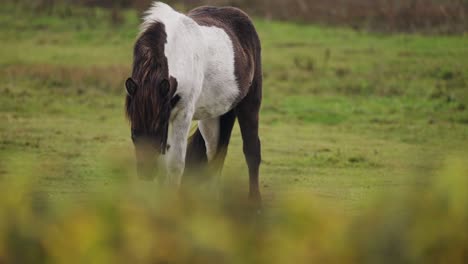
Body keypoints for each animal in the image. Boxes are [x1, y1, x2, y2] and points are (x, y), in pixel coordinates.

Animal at [124, 1, 264, 200]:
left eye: (156, 134)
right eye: (134, 134)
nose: (146, 174)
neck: (175, 52)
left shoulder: (181, 115)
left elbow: (175, 165)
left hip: (250, 103)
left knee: (251, 150)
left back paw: (254, 201)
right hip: (211, 117)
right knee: (215, 154)